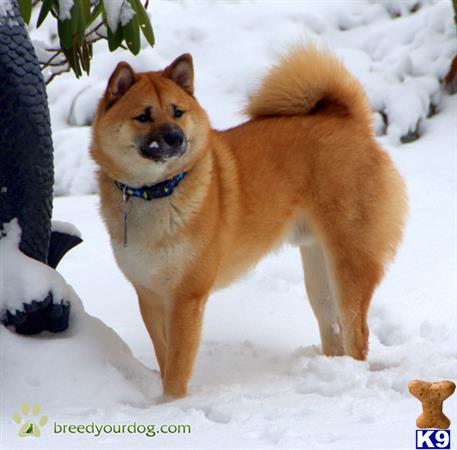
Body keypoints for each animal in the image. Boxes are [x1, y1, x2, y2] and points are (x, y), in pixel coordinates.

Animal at [89, 44, 406, 398]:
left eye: (177, 112)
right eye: (143, 116)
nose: (174, 138)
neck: (154, 192)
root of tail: (349, 121)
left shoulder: (186, 298)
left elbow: (177, 366)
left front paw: (171, 404)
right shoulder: (150, 296)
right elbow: (164, 355)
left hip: (349, 265)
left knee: (357, 333)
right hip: (319, 273)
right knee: (332, 326)